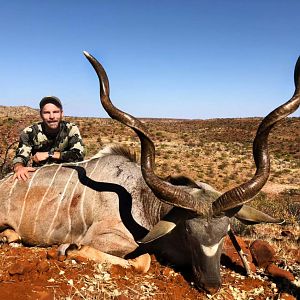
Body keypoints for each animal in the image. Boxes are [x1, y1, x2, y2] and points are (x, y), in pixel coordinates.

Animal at [0, 52, 298, 292]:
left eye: (225, 232)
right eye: (188, 232)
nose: (211, 285)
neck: (142, 200)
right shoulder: (105, 238)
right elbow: (139, 259)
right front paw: (68, 249)